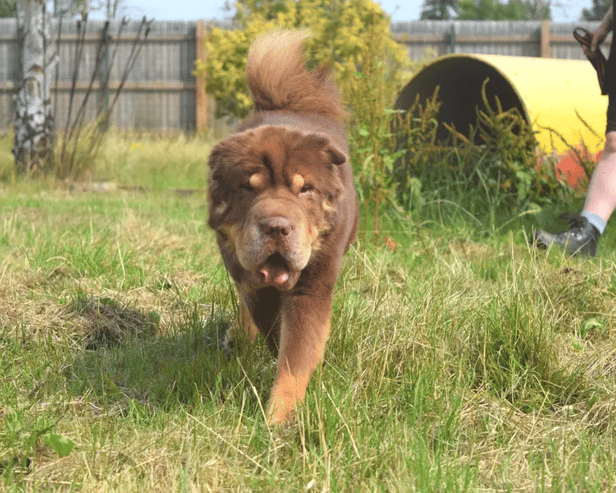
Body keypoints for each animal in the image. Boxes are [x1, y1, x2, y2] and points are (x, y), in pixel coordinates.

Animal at [209, 30, 358, 422]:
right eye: (248, 187)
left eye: (305, 189)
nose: (277, 226)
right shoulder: (251, 278)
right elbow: (269, 322)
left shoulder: (313, 285)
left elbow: (296, 353)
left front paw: (280, 418)